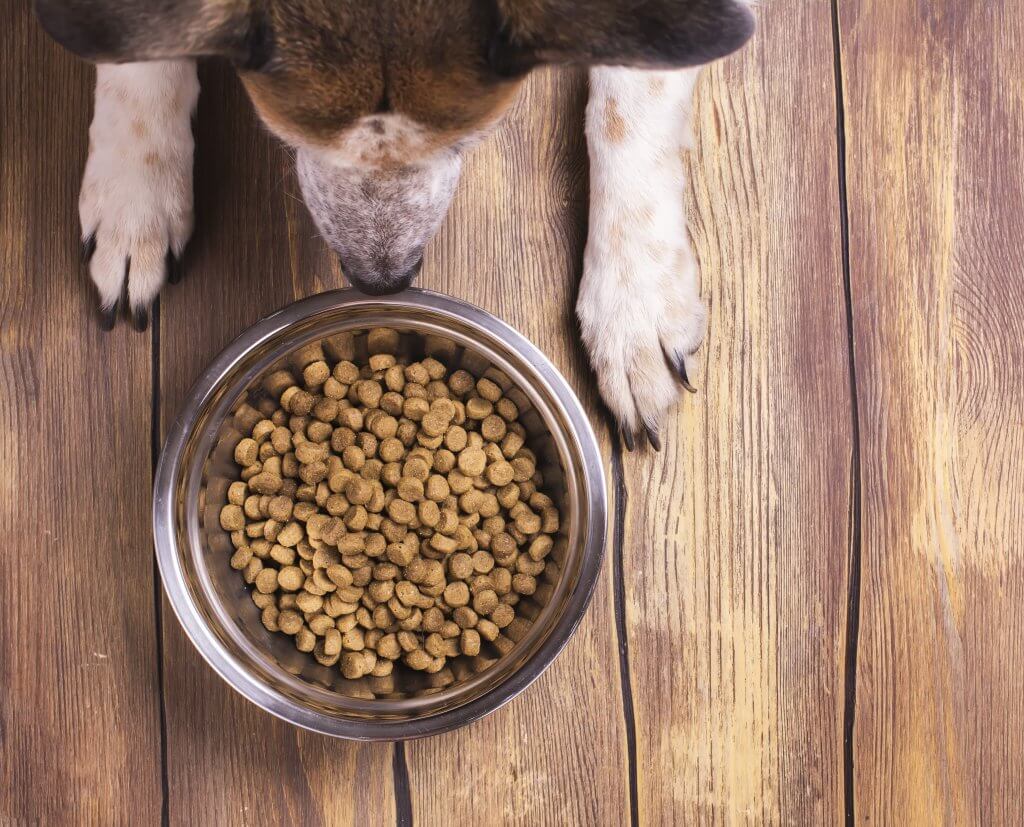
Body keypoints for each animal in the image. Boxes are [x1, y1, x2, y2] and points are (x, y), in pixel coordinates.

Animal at [34, 0, 753, 448]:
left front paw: (634, 305)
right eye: (285, 136)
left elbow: (631, 99)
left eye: (468, 141)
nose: (383, 280)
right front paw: (134, 194)